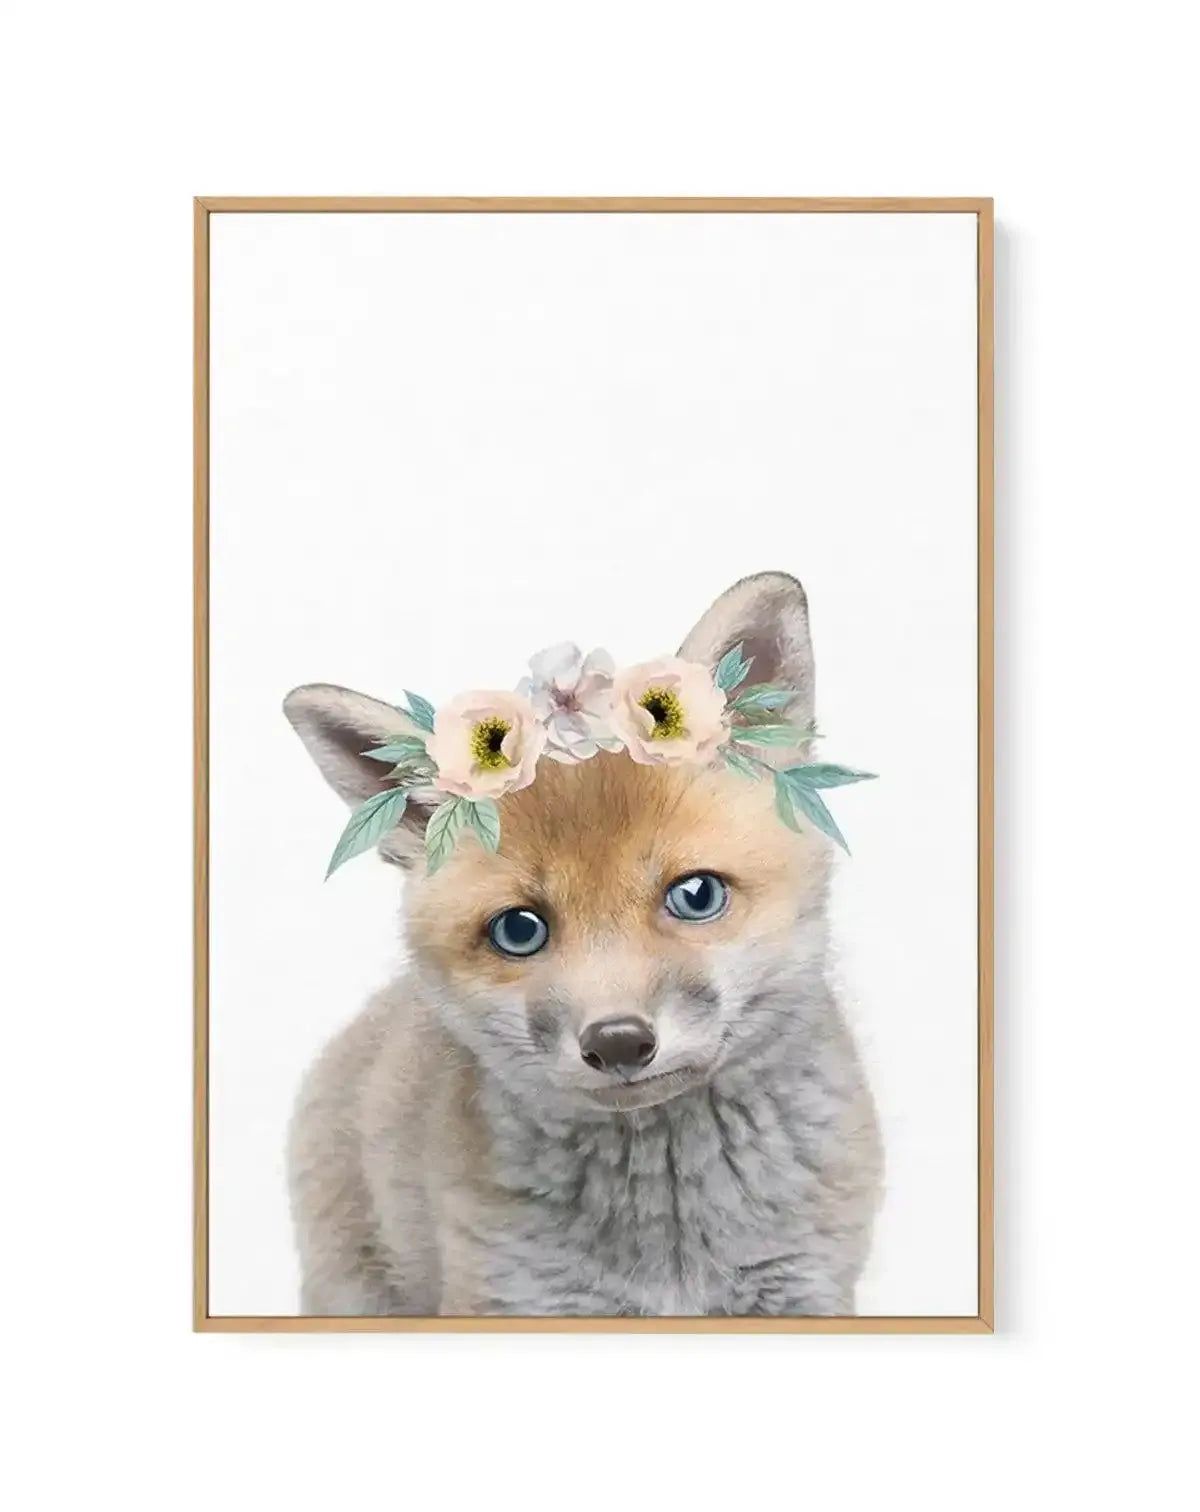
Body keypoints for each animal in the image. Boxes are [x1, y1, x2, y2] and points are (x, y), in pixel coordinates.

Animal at [283, 571, 882, 1316]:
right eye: (519, 930)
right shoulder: (516, 1296)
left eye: (696, 895)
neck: (671, 1240)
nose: (619, 1043)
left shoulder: (803, 1288)